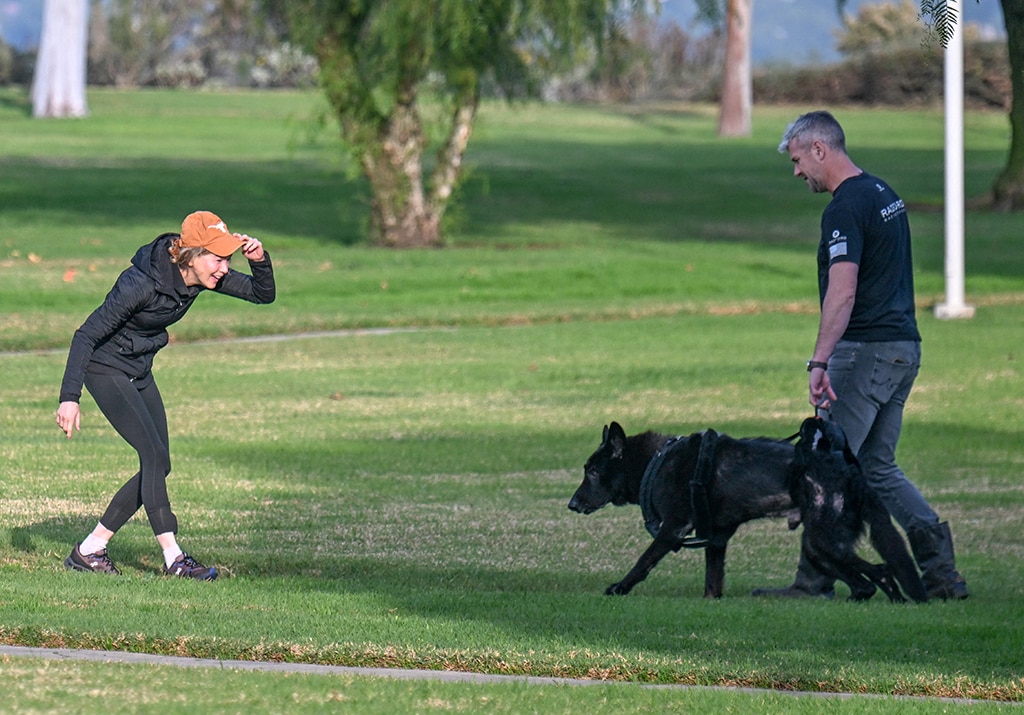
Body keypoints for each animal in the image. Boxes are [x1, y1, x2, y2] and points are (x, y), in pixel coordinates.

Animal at [569, 417, 929, 602]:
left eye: (592, 472)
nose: (572, 504)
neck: (654, 463)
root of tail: (851, 471)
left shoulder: (673, 530)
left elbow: (643, 561)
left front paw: (620, 587)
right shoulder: (716, 539)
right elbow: (712, 583)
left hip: (827, 541)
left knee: (880, 570)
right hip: (818, 547)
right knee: (864, 582)